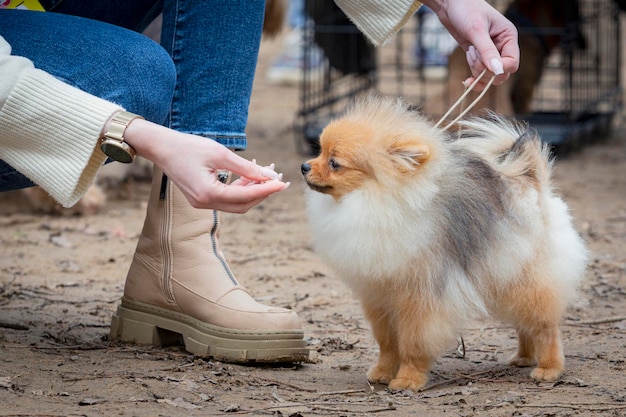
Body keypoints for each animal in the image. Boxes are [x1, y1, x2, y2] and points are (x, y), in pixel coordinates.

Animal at [300, 96, 588, 392]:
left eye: (334, 163)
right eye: (319, 151)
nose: (304, 167)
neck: (375, 202)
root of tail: (531, 183)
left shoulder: (420, 296)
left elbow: (412, 342)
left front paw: (408, 379)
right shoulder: (379, 294)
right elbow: (387, 342)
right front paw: (382, 372)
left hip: (527, 278)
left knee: (544, 326)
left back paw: (548, 368)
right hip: (505, 274)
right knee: (526, 324)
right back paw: (524, 357)